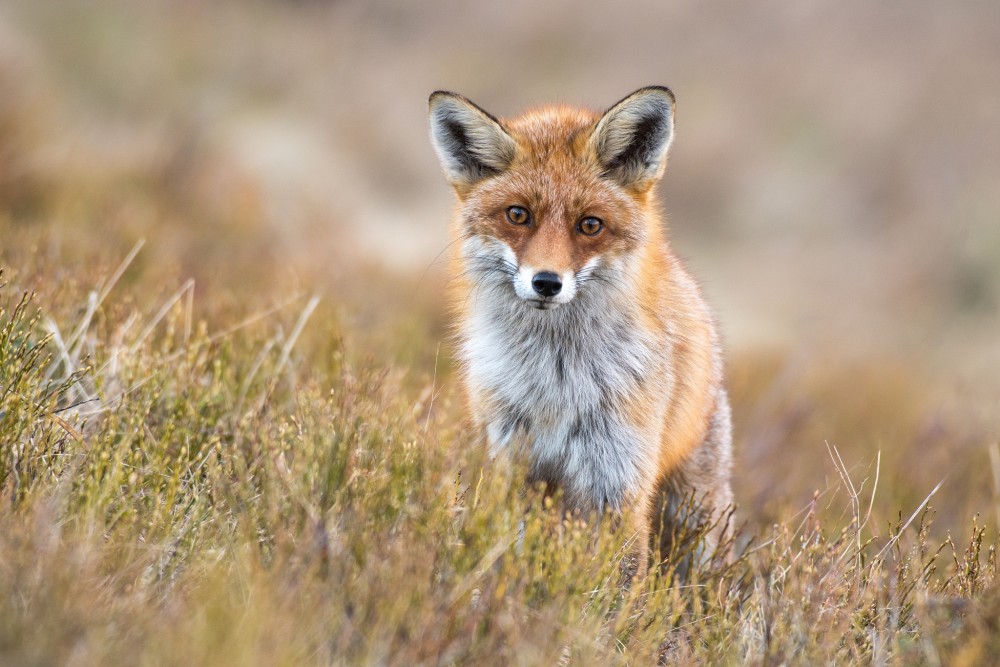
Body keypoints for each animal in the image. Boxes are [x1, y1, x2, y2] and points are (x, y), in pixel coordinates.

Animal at [426, 87, 732, 580]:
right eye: (518, 215)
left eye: (590, 224)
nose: (547, 282)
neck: (556, 379)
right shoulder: (514, 464)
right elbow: (507, 556)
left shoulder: (616, 480)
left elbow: (617, 580)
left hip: (697, 516)